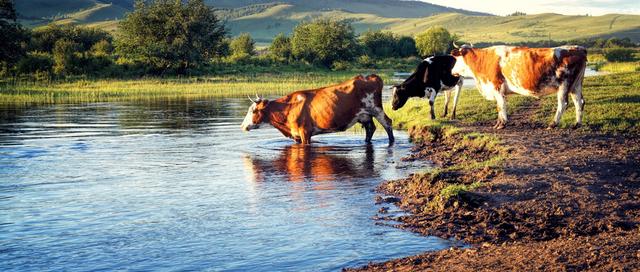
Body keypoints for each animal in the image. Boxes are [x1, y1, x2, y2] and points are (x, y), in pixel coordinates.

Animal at [239, 74, 392, 146]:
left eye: (253, 111)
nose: (242, 126)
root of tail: (370, 77)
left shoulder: (305, 132)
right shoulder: (296, 135)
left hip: (376, 109)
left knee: (387, 123)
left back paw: (391, 142)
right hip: (364, 115)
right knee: (370, 129)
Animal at [450, 43, 584, 130]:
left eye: (456, 58)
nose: (452, 71)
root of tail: (578, 48)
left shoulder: (497, 86)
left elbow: (501, 106)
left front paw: (502, 124)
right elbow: (500, 106)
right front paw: (498, 123)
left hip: (564, 85)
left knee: (563, 104)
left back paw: (553, 124)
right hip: (576, 85)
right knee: (579, 102)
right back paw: (577, 124)